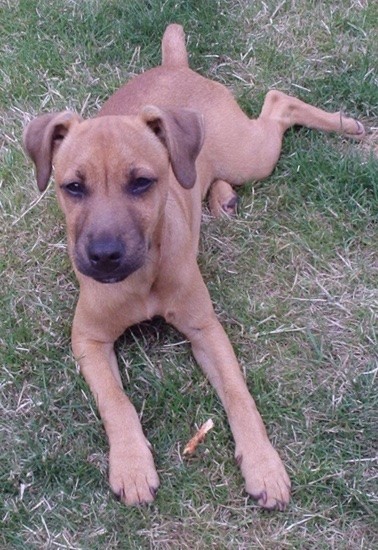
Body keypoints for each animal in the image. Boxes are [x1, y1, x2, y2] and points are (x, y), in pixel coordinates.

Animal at [22, 23, 364, 512]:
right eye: (73, 187)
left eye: (142, 183)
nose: (104, 256)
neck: (144, 277)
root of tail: (175, 66)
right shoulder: (88, 338)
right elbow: (116, 402)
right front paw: (131, 465)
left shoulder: (206, 328)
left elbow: (239, 395)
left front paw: (263, 463)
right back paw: (222, 196)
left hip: (249, 155)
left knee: (279, 102)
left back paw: (346, 125)